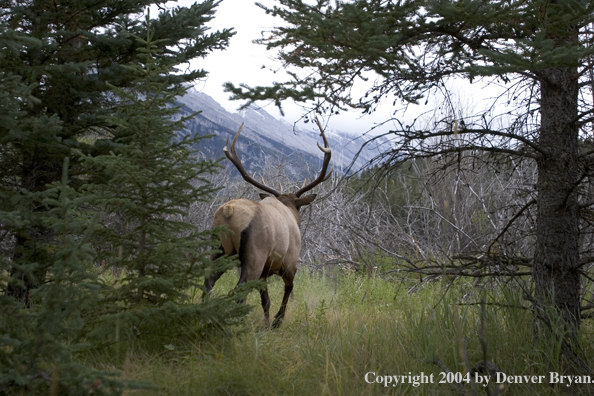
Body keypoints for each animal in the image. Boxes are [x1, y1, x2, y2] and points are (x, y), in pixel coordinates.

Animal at [205, 120, 330, 328]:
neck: (289, 208)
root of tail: (228, 212)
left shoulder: (265, 271)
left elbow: (266, 300)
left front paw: (266, 324)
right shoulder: (290, 261)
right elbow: (289, 289)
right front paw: (277, 322)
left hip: (220, 249)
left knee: (208, 280)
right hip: (254, 255)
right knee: (238, 290)